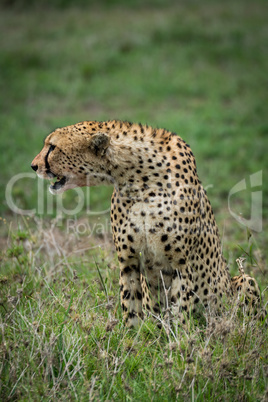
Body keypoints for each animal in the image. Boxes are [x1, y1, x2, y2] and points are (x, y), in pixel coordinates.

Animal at [30, 119, 262, 326]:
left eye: (52, 147)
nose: (33, 166)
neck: (136, 179)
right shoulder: (128, 261)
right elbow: (131, 307)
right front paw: (131, 341)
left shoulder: (182, 265)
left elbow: (180, 312)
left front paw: (180, 342)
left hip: (244, 282)